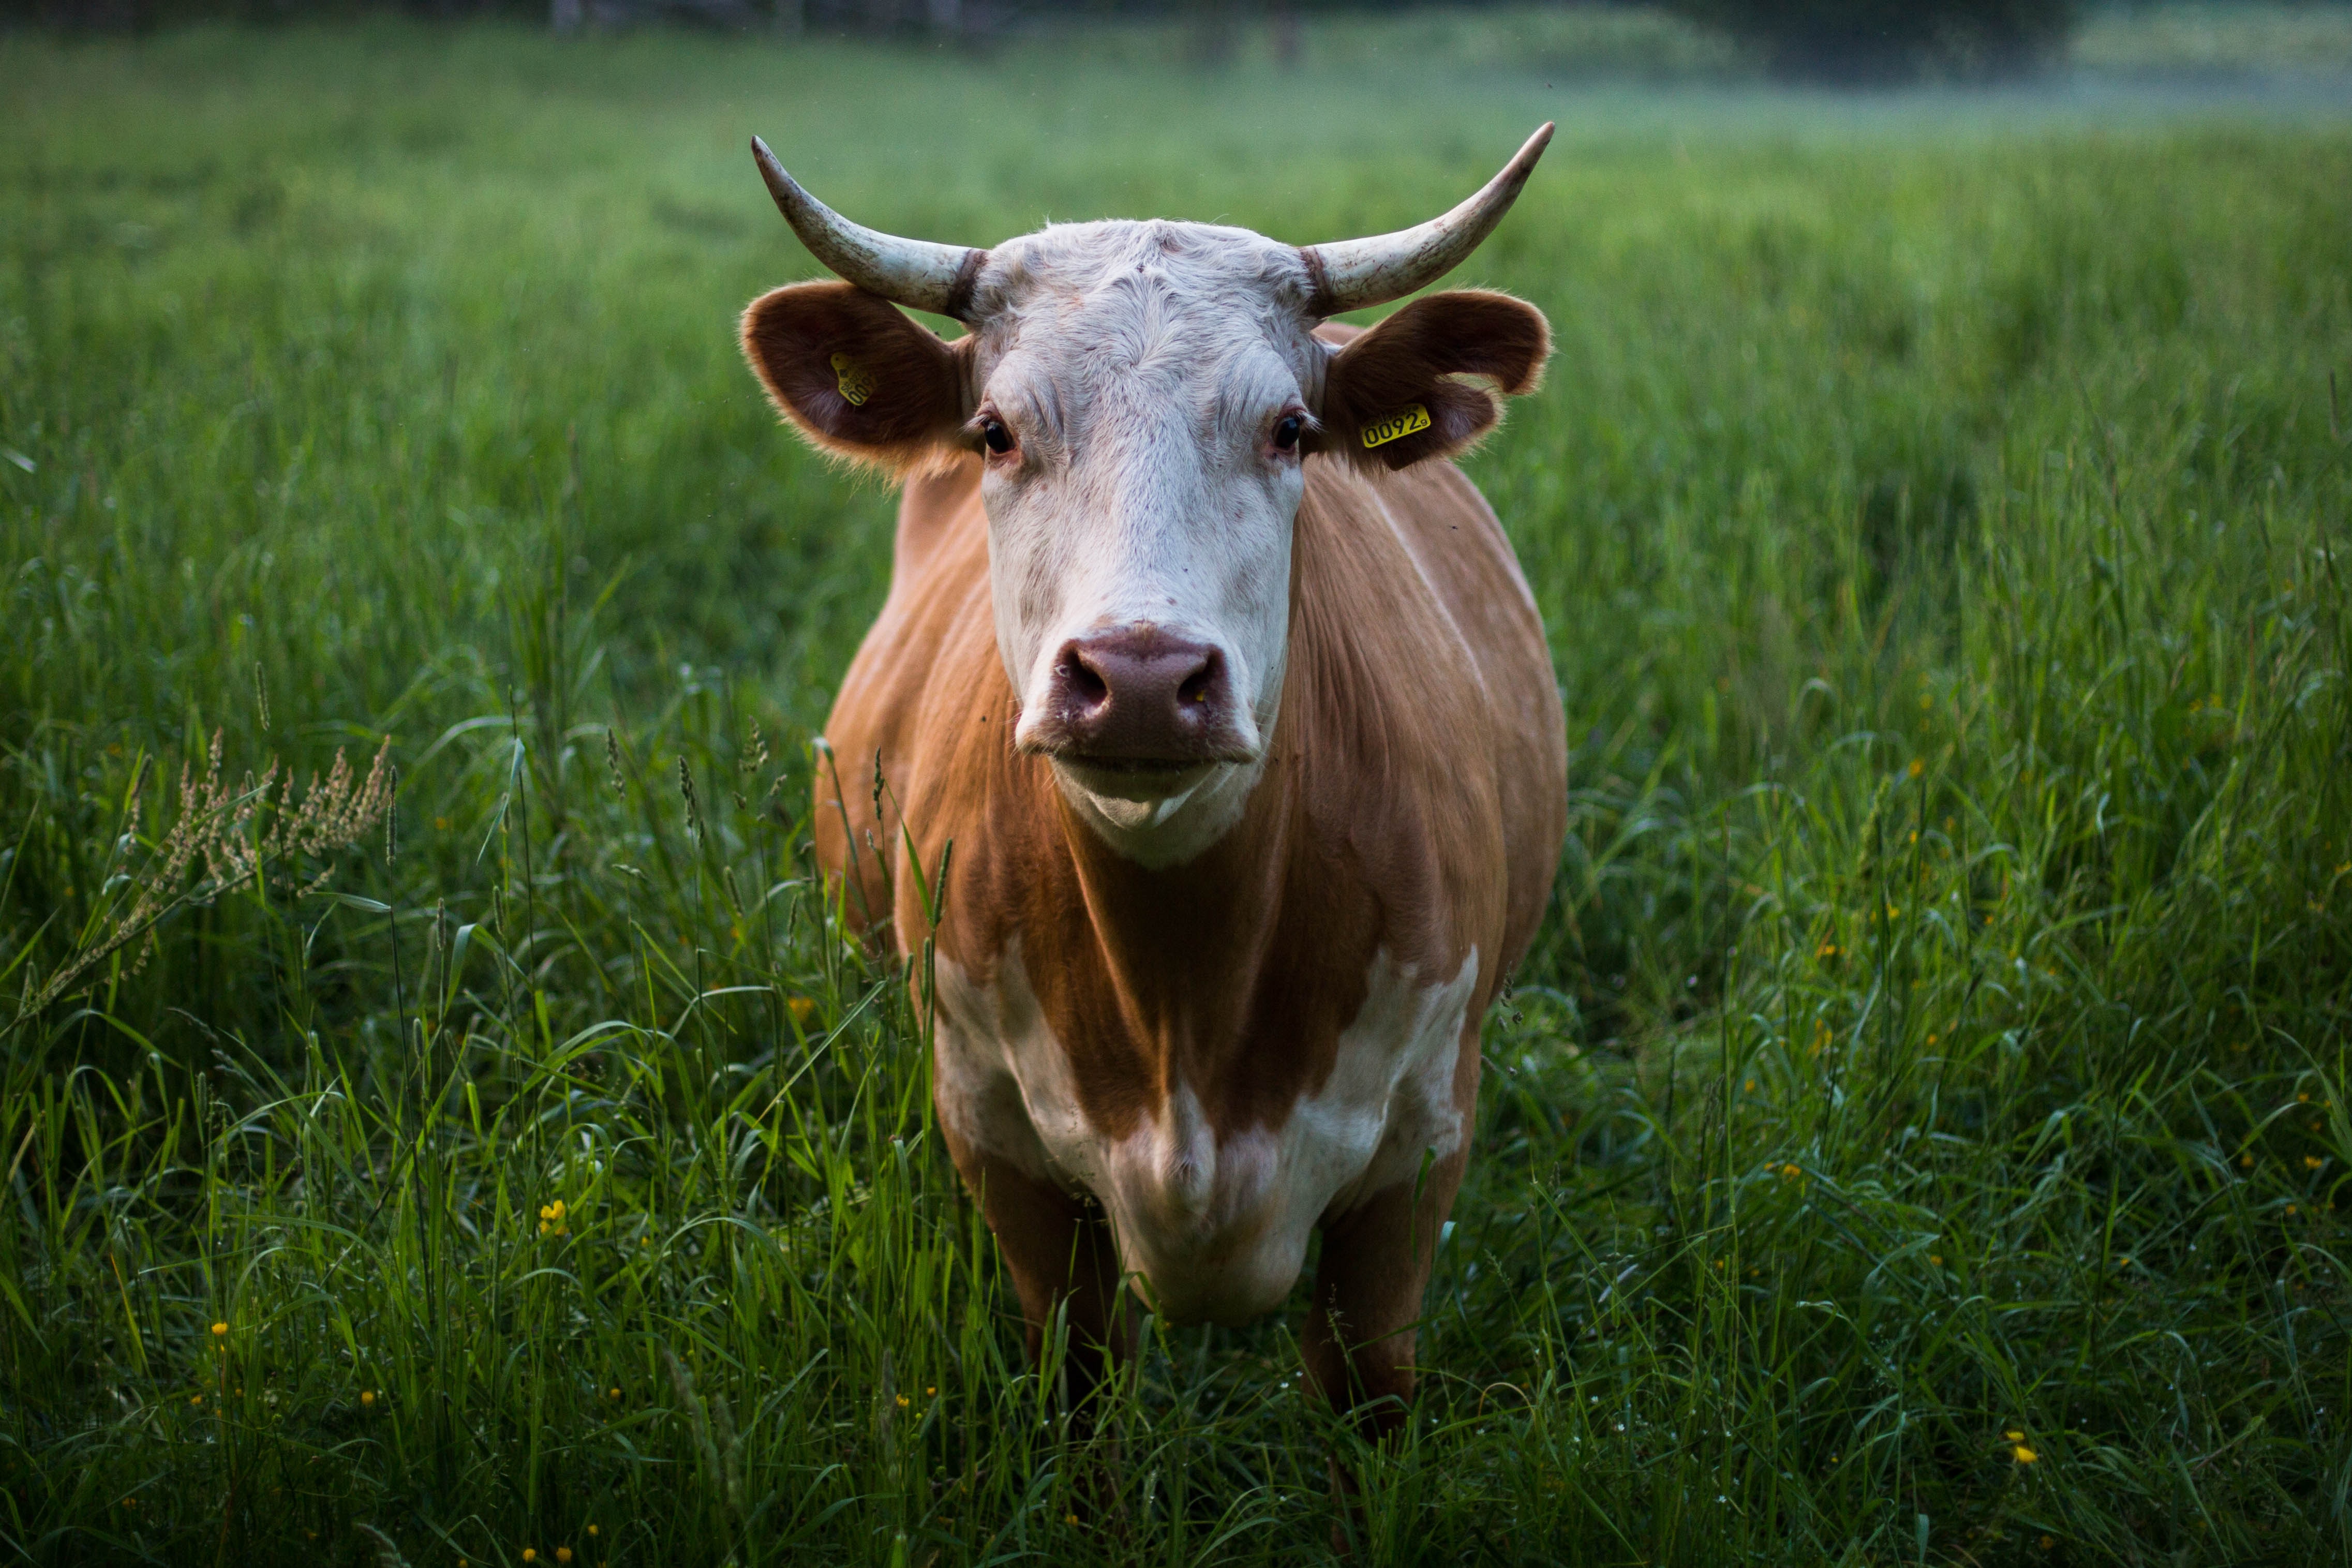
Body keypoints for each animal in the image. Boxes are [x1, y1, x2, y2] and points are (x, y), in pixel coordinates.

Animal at [743, 123, 1571, 1485]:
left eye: (1290, 428)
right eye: (993, 432)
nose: (1137, 679)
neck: (1185, 995)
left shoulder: (1415, 1159)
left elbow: (1368, 1403)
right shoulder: (999, 1147)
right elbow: (1082, 1402)